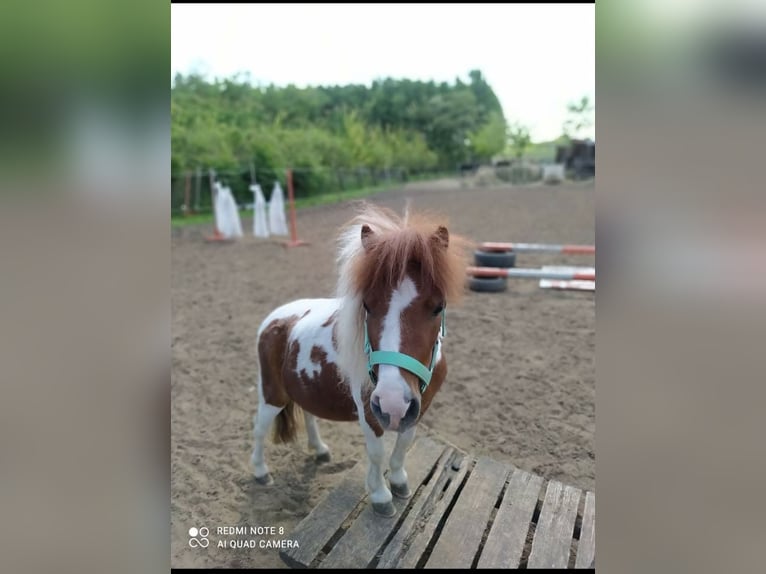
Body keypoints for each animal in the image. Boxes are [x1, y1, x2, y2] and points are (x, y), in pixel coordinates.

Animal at [252, 205, 468, 520]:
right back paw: (260, 472)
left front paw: (399, 482)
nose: (392, 402)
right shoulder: (369, 410)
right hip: (272, 395)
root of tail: (275, 319)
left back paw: (319, 450)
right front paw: (380, 496)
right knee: (259, 427)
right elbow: (377, 453)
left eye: (438, 307)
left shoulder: (416, 409)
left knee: (308, 413)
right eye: (367, 305)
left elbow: (402, 445)